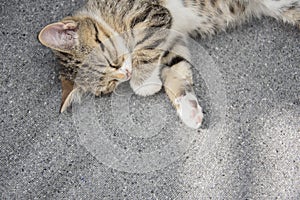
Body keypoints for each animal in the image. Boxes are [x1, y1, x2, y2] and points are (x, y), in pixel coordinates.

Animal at [38, 0, 300, 129]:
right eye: (109, 86)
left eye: (112, 62)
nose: (125, 74)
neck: (107, 14)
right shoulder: (171, 41)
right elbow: (176, 70)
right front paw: (188, 108)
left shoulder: (151, 14)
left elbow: (144, 51)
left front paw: (143, 83)